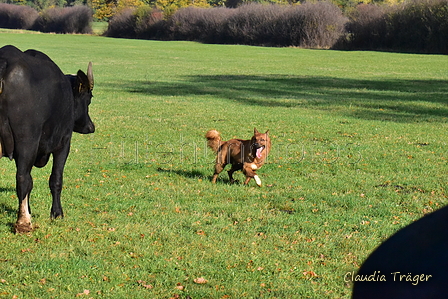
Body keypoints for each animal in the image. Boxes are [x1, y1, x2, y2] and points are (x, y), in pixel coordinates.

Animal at [0, 45, 93, 234]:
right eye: (89, 99)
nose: (90, 127)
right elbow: (55, 179)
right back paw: (24, 223)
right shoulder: (64, 143)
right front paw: (57, 213)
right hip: (27, 141)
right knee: (22, 178)